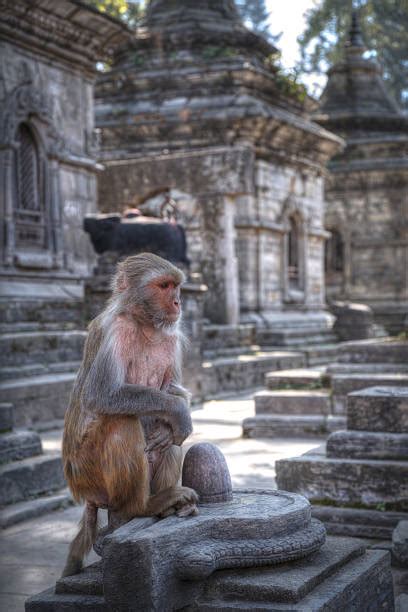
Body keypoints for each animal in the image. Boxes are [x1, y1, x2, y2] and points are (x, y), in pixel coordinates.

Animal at [61, 253, 199, 580]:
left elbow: (174, 391)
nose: (178, 302)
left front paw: (178, 411)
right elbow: (103, 395)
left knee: (171, 438)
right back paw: (140, 508)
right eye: (164, 286)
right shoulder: (117, 331)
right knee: (121, 420)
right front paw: (179, 412)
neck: (145, 323)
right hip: (87, 476)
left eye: (176, 286)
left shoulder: (172, 337)